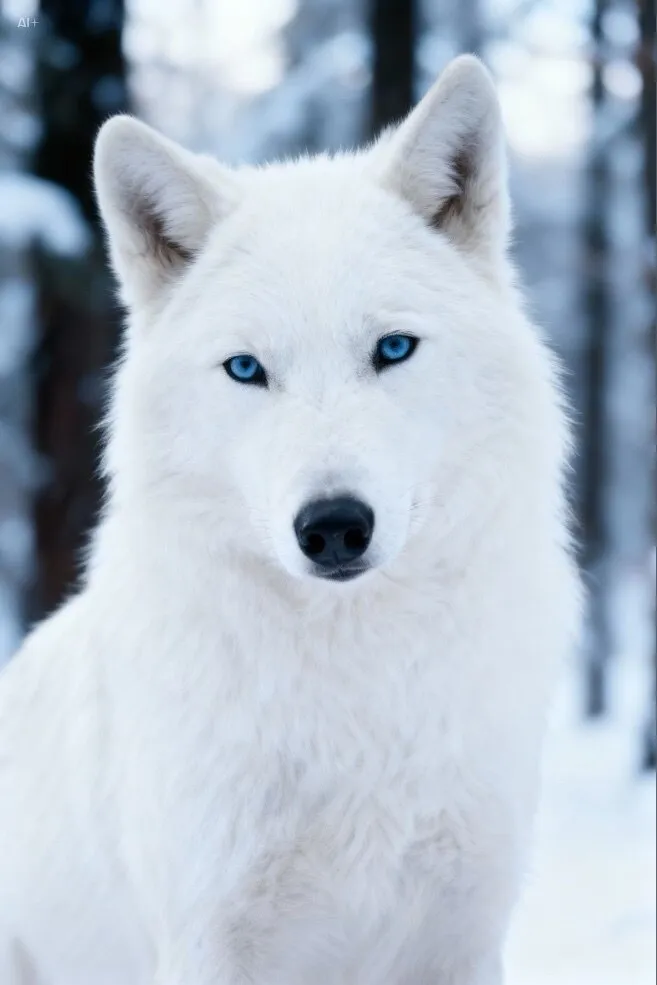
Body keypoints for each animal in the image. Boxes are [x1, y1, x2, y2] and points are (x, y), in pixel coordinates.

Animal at [0, 56, 581, 985]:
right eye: (246, 369)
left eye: (392, 349)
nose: (334, 524)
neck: (356, 681)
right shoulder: (210, 940)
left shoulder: (460, 936)